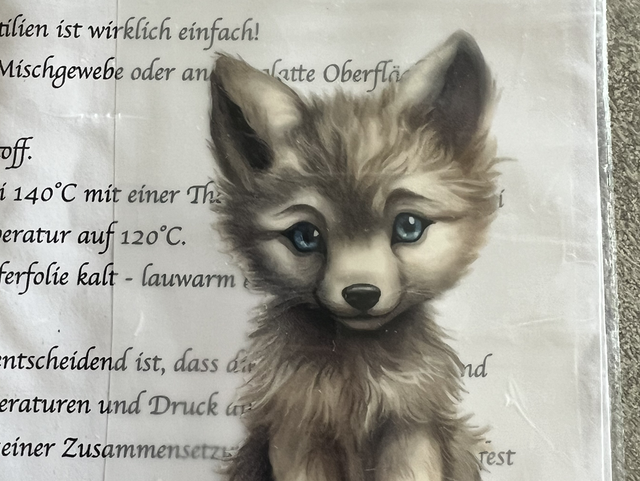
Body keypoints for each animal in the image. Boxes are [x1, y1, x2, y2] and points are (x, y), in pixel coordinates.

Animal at [208, 30, 498, 481]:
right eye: (305, 236)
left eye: (408, 227)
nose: (361, 294)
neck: (355, 377)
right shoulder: (298, 430)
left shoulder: (409, 427)